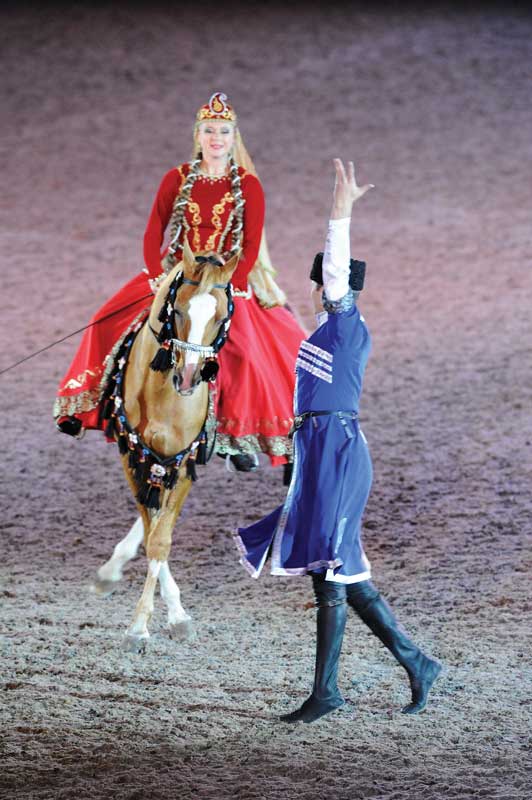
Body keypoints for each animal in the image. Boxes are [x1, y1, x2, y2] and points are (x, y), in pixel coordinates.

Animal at [92, 241, 238, 652]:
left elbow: (161, 539)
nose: (188, 377)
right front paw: (148, 624)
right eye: (179, 308)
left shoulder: (183, 463)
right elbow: (153, 529)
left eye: (221, 316)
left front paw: (151, 623)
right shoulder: (133, 457)